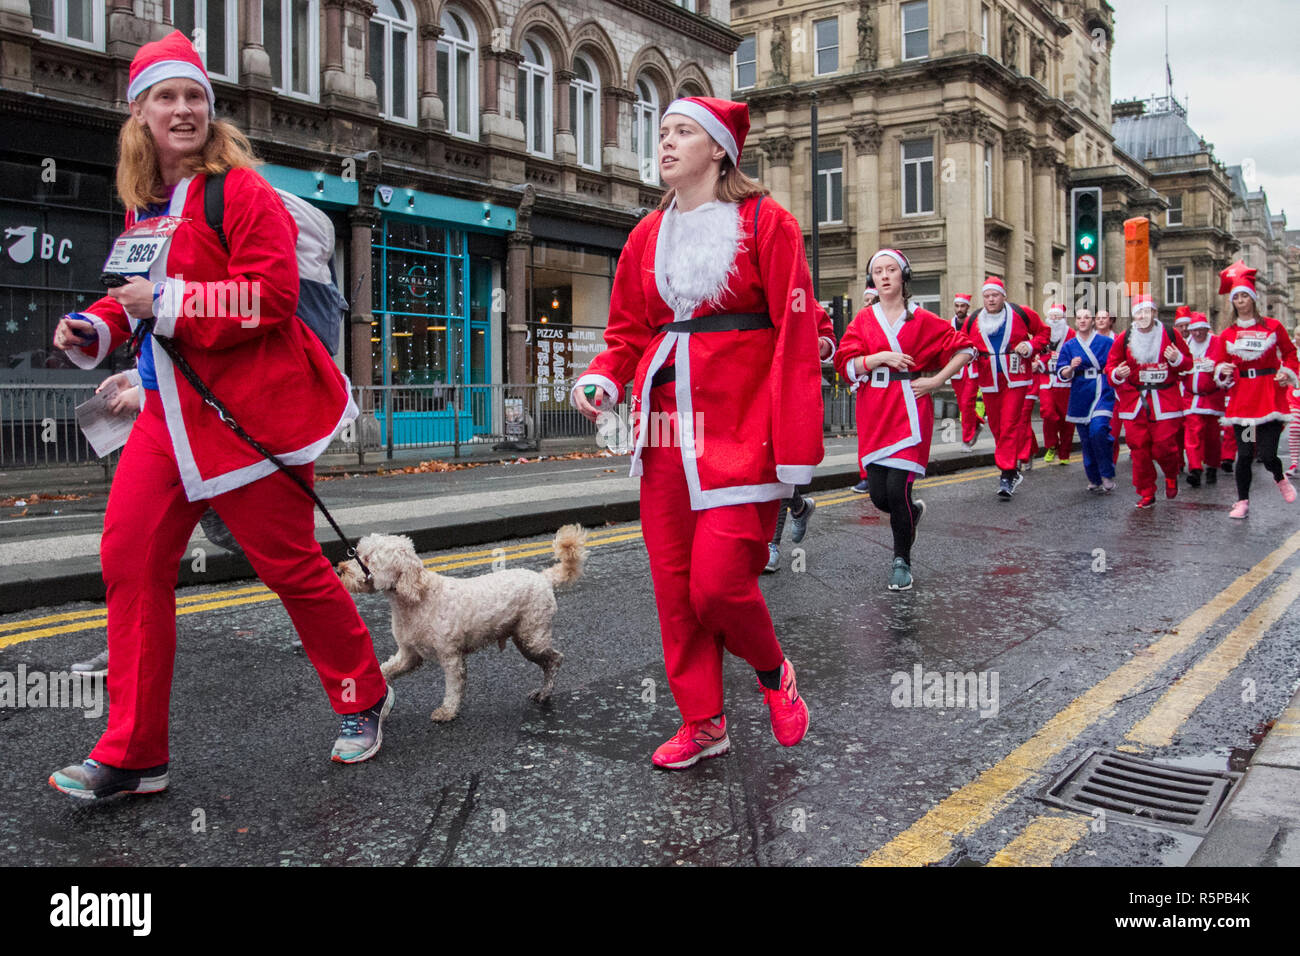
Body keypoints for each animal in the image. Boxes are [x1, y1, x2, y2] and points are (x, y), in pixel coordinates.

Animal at [345, 528, 590, 723]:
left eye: (367, 559)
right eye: (359, 554)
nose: (340, 569)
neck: (418, 598)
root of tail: (544, 578)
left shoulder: (451, 656)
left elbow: (454, 687)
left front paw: (447, 711)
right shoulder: (409, 655)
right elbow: (387, 668)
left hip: (531, 638)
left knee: (555, 660)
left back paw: (545, 692)